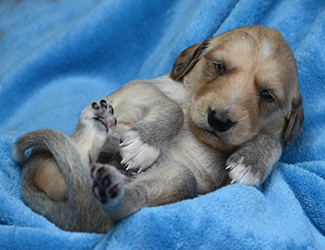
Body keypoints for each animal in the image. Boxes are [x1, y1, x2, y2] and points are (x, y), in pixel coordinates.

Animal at [11, 25, 302, 232]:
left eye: (267, 95)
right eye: (219, 67)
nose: (219, 120)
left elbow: (273, 141)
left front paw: (250, 162)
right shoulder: (141, 88)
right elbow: (173, 108)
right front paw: (145, 144)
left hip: (179, 177)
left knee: (120, 207)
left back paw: (110, 187)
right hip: (106, 137)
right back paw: (96, 126)